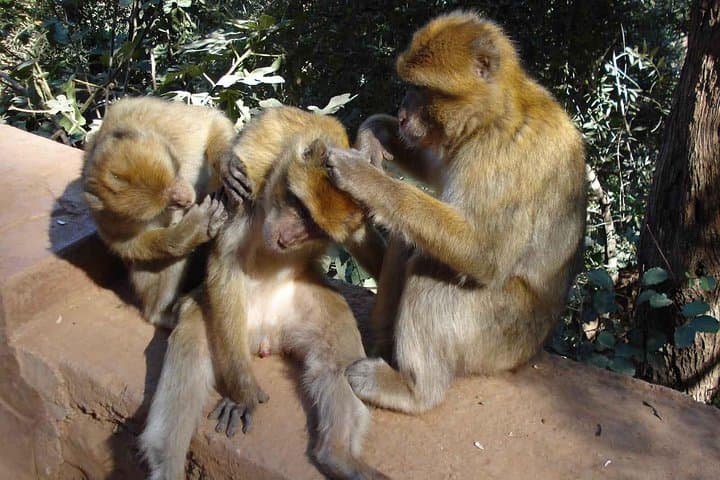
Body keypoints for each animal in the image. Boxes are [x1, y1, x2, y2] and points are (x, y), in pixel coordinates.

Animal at [82, 96, 236, 328]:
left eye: (177, 174)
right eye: (168, 203)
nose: (186, 199)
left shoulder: (167, 123)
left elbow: (211, 123)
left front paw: (227, 163)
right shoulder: (106, 216)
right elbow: (128, 245)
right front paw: (192, 229)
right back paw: (161, 315)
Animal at [140, 106, 389, 480]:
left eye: (314, 227)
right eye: (299, 207)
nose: (287, 238)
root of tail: (266, 335)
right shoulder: (251, 175)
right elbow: (226, 262)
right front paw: (243, 394)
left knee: (338, 363)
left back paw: (338, 455)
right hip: (229, 327)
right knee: (192, 344)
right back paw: (166, 462)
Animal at [322, 11, 587, 414]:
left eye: (422, 88)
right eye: (409, 85)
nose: (402, 113)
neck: (494, 111)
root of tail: (532, 351)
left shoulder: (499, 156)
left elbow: (486, 253)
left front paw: (364, 179)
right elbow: (436, 168)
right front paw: (375, 134)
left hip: (498, 338)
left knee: (429, 270)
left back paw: (413, 389)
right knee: (411, 242)